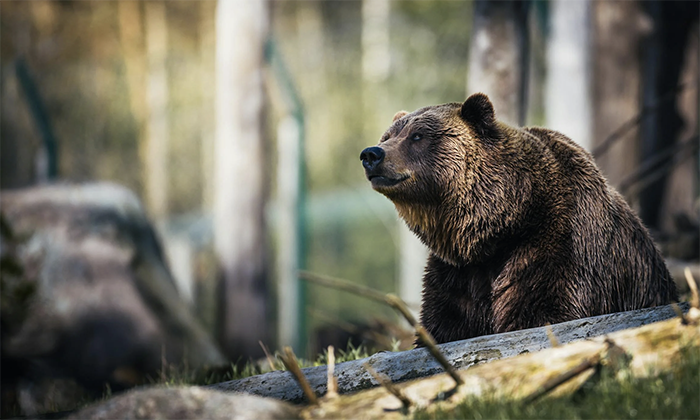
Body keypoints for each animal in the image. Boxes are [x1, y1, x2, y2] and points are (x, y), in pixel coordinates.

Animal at [359, 93, 678, 344]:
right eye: (388, 136)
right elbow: (446, 324)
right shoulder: (457, 273)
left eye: (418, 136)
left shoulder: (558, 244)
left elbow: (543, 311)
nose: (371, 154)